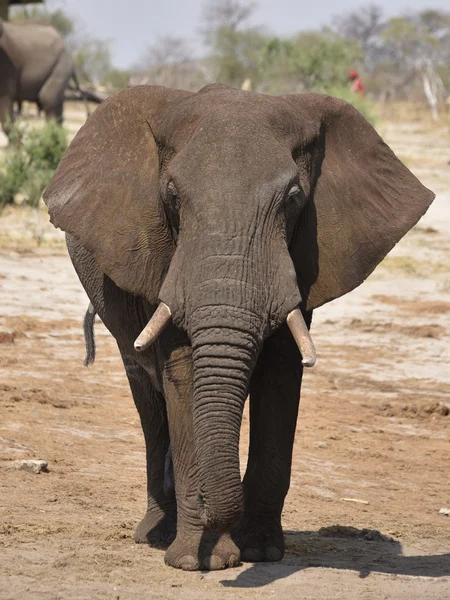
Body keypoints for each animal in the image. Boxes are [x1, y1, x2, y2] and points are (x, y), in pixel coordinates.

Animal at [43, 84, 436, 572]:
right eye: (171, 197)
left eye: (293, 199)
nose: (211, 509)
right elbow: (184, 370)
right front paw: (199, 561)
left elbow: (282, 376)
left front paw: (260, 552)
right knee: (148, 400)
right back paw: (156, 533)